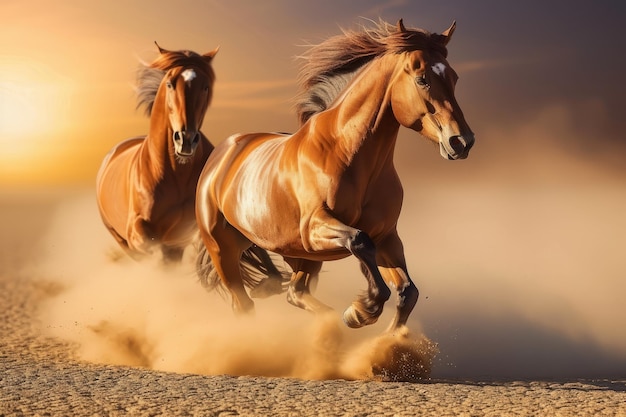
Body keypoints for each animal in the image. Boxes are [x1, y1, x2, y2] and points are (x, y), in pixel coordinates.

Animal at [195, 19, 472, 330]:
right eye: (422, 79)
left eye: (454, 78)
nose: (461, 141)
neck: (345, 153)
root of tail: (220, 154)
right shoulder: (314, 228)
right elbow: (360, 242)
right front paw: (362, 310)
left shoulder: (387, 236)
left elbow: (407, 292)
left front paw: (381, 329)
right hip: (225, 250)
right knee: (244, 304)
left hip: (296, 253)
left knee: (295, 292)